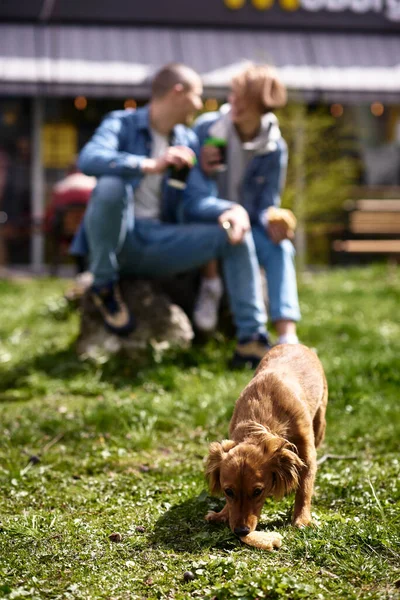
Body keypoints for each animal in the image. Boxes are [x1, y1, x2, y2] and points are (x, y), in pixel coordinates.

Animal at [206, 344, 328, 536]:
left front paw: (302, 519)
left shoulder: (307, 455)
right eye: (228, 491)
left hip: (320, 421)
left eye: (258, 491)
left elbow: (304, 487)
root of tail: (294, 344)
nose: (241, 531)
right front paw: (223, 514)